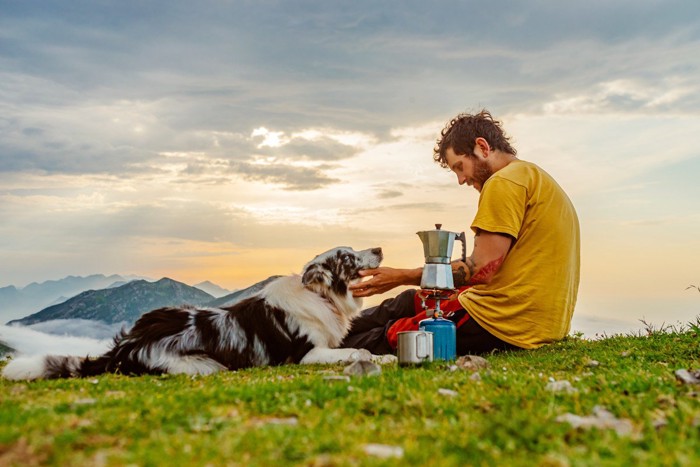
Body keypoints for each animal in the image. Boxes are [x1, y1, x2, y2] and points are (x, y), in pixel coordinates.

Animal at [2, 247, 386, 382]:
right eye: (348, 256)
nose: (380, 248)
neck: (319, 294)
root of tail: (126, 345)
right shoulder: (306, 354)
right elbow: (356, 350)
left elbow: (365, 349)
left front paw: (383, 356)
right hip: (200, 364)